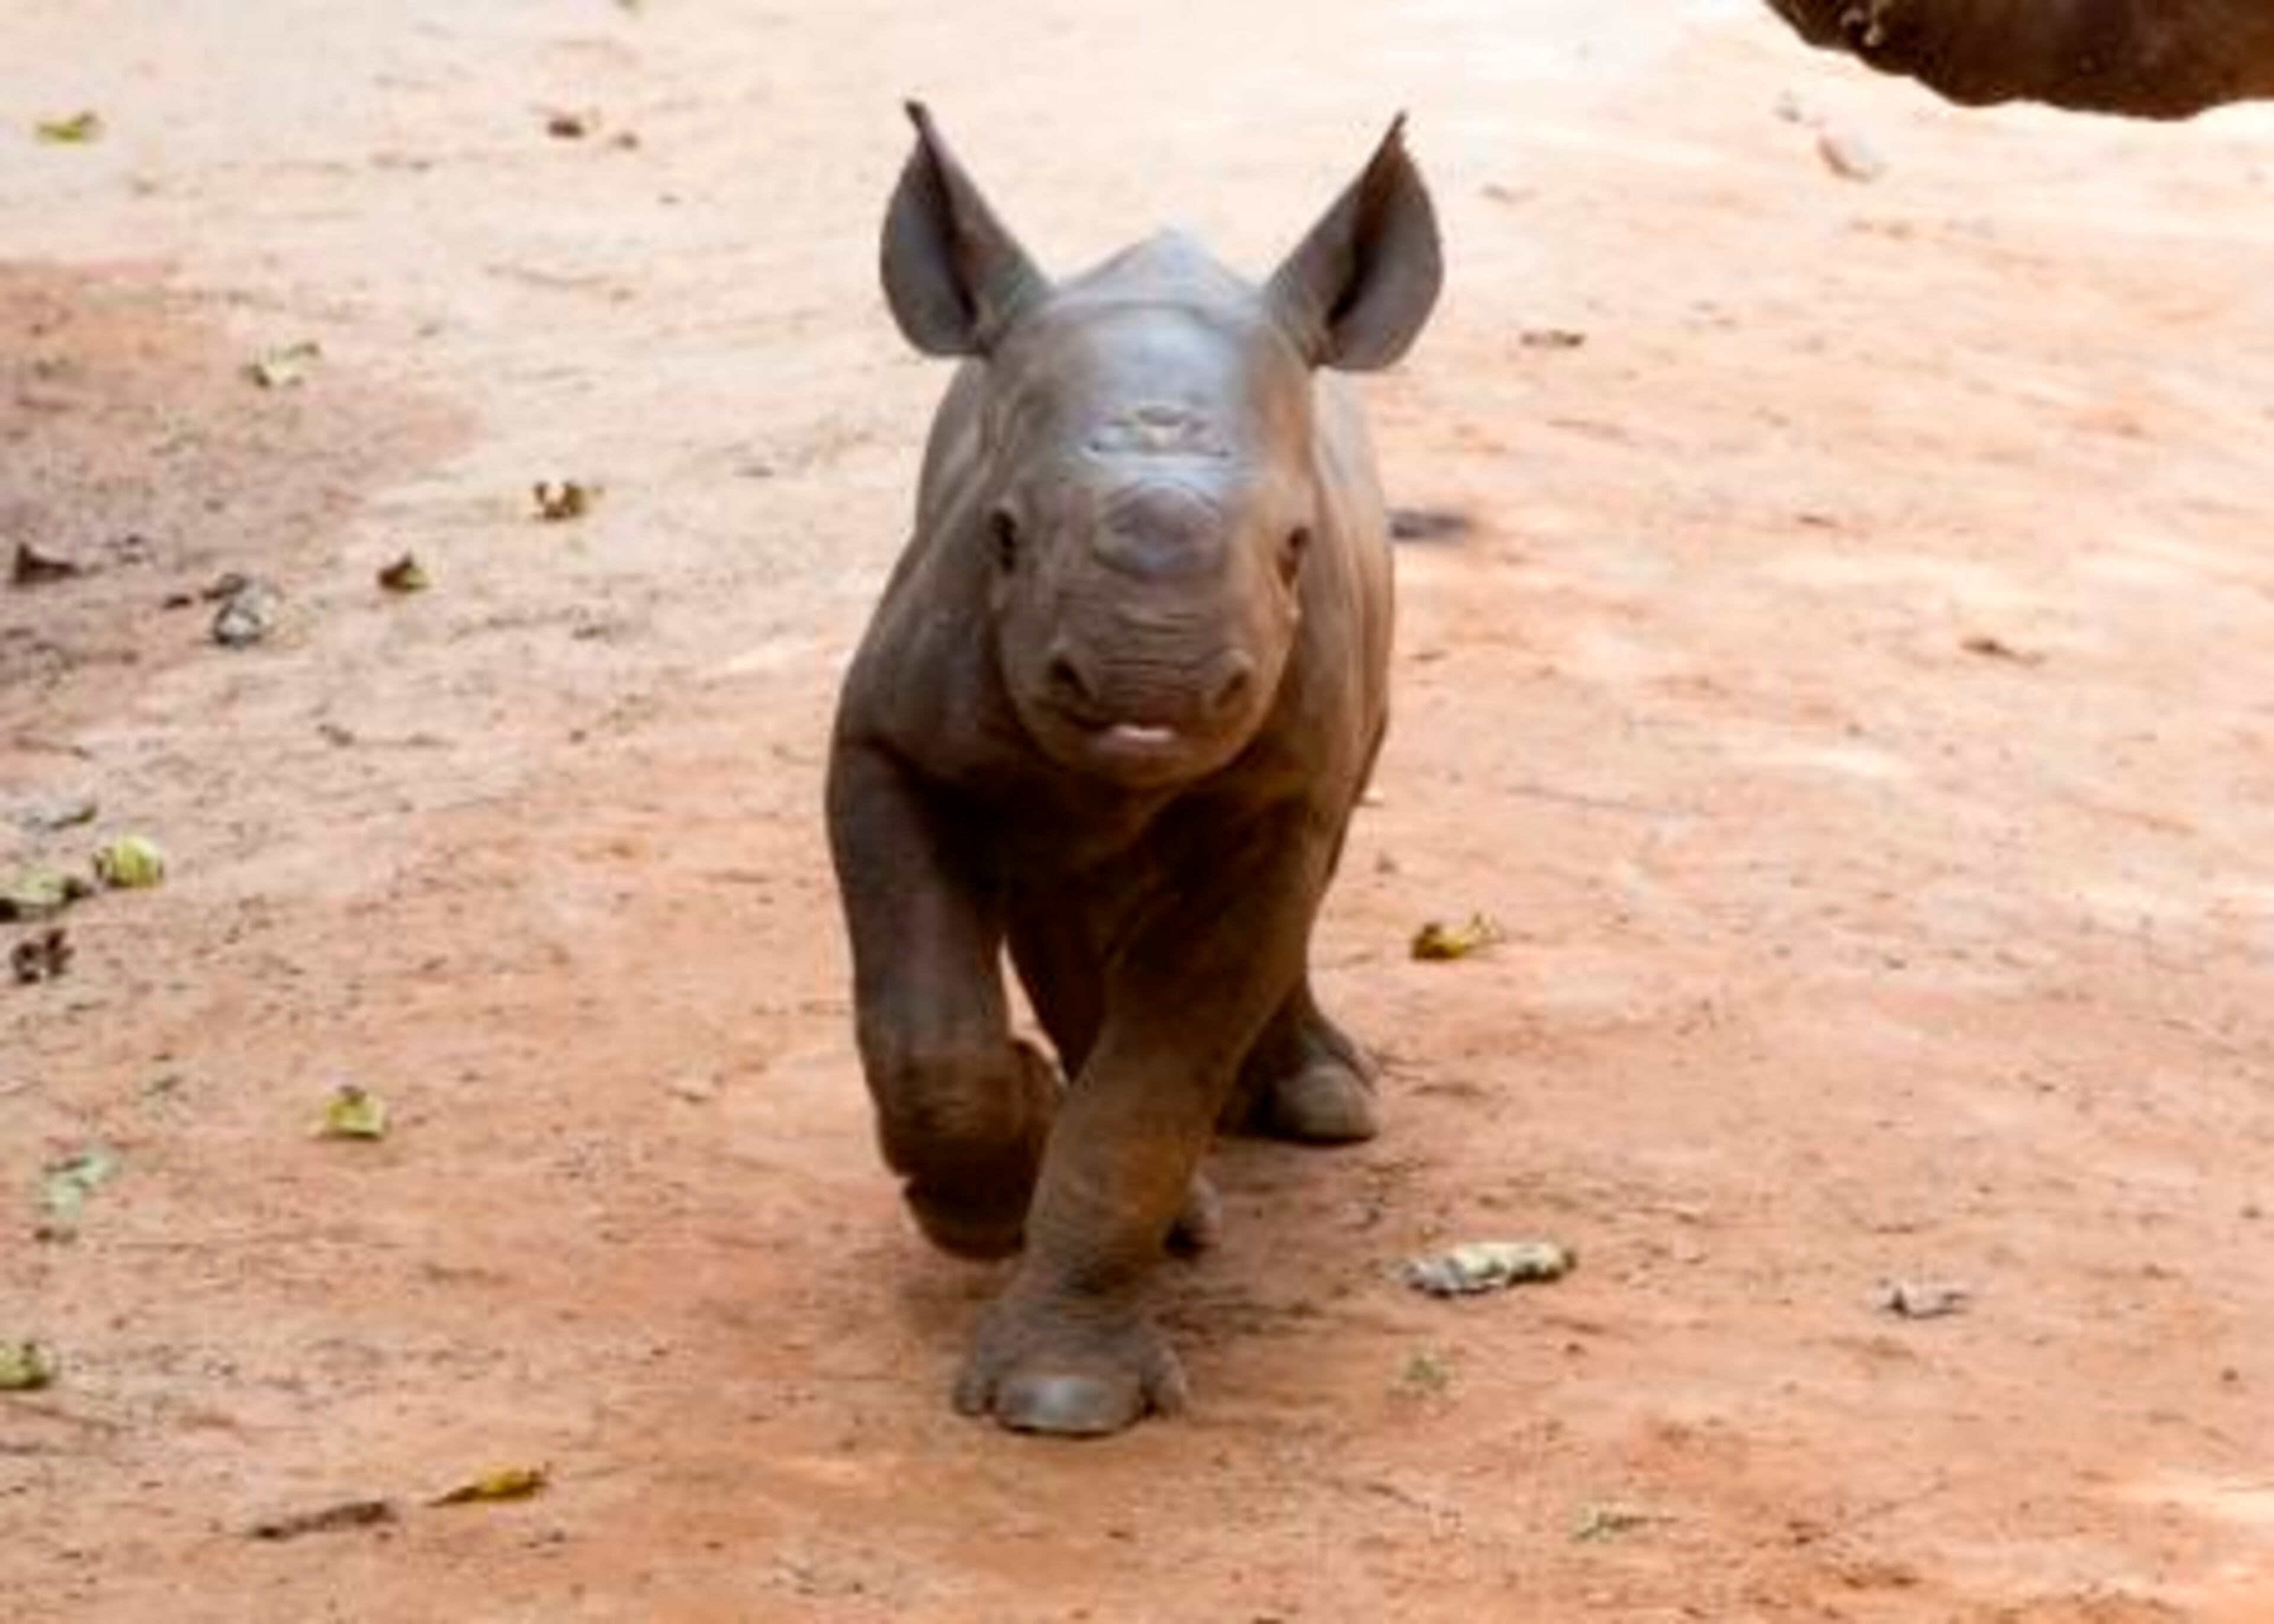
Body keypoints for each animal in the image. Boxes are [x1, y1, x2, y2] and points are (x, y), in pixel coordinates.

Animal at [827, 106, 1439, 1436]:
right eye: (1004, 533)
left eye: (1295, 546)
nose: (1148, 697)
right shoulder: (890, 745)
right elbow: (927, 1039)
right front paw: (981, 1199)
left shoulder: (1280, 796)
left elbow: (1158, 1079)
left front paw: (1066, 1397)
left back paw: (1322, 1106)